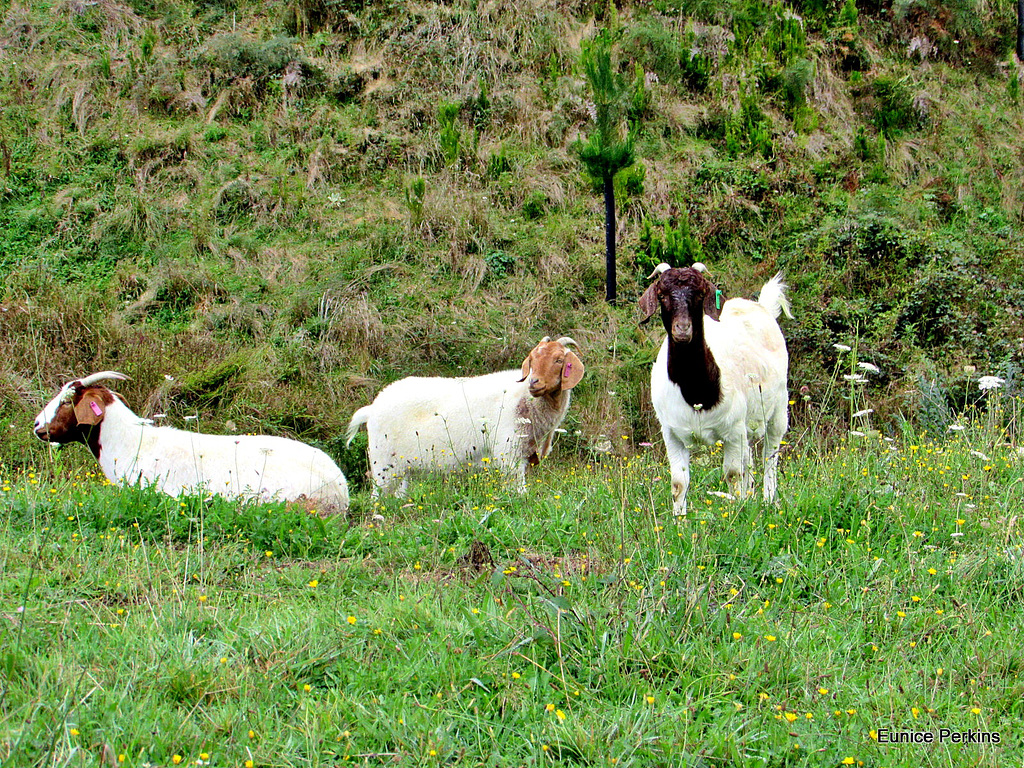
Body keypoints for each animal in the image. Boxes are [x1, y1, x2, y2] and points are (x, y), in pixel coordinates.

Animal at [344, 337, 585, 499]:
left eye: (559, 359)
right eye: (533, 359)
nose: (534, 382)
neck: (524, 398)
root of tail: (372, 408)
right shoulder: (508, 452)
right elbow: (517, 487)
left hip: (401, 467)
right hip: (383, 462)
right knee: (378, 496)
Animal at [638, 264, 790, 518]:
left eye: (700, 294)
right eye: (662, 295)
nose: (682, 329)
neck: (697, 392)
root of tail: (760, 306)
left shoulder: (733, 431)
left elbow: (733, 476)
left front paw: (736, 514)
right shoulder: (671, 434)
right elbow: (678, 483)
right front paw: (679, 521)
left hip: (778, 407)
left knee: (770, 454)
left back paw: (769, 500)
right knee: (749, 459)